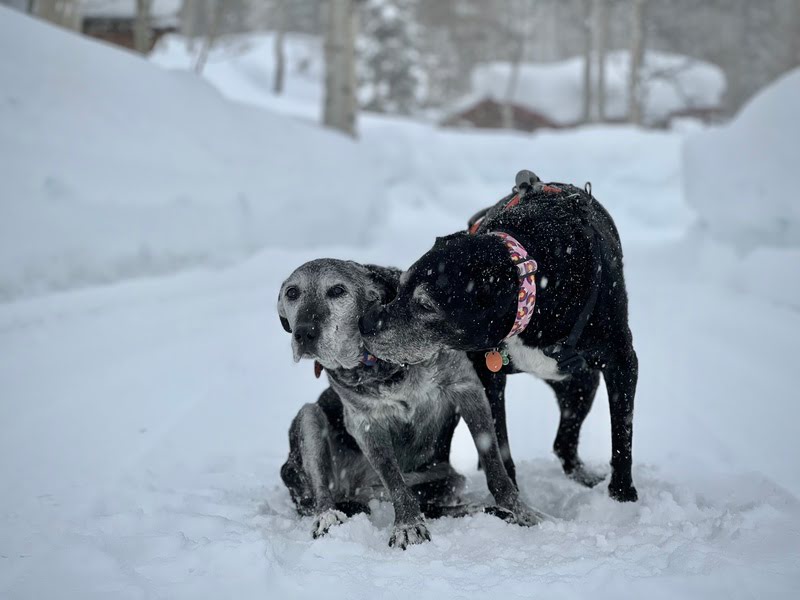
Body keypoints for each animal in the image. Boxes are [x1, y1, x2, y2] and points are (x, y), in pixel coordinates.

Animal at [276, 258, 544, 548]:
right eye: (292, 293)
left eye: (337, 290)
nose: (304, 332)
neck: (380, 364)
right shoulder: (365, 423)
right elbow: (393, 478)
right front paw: (408, 524)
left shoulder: (467, 388)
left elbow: (494, 463)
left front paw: (517, 510)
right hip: (310, 419)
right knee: (322, 492)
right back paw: (328, 517)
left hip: (448, 479)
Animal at [360, 172, 640, 502]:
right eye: (400, 287)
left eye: (426, 305)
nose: (365, 323)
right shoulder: (484, 375)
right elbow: (496, 439)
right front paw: (509, 496)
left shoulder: (622, 361)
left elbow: (622, 432)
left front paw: (622, 495)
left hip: (581, 382)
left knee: (565, 441)